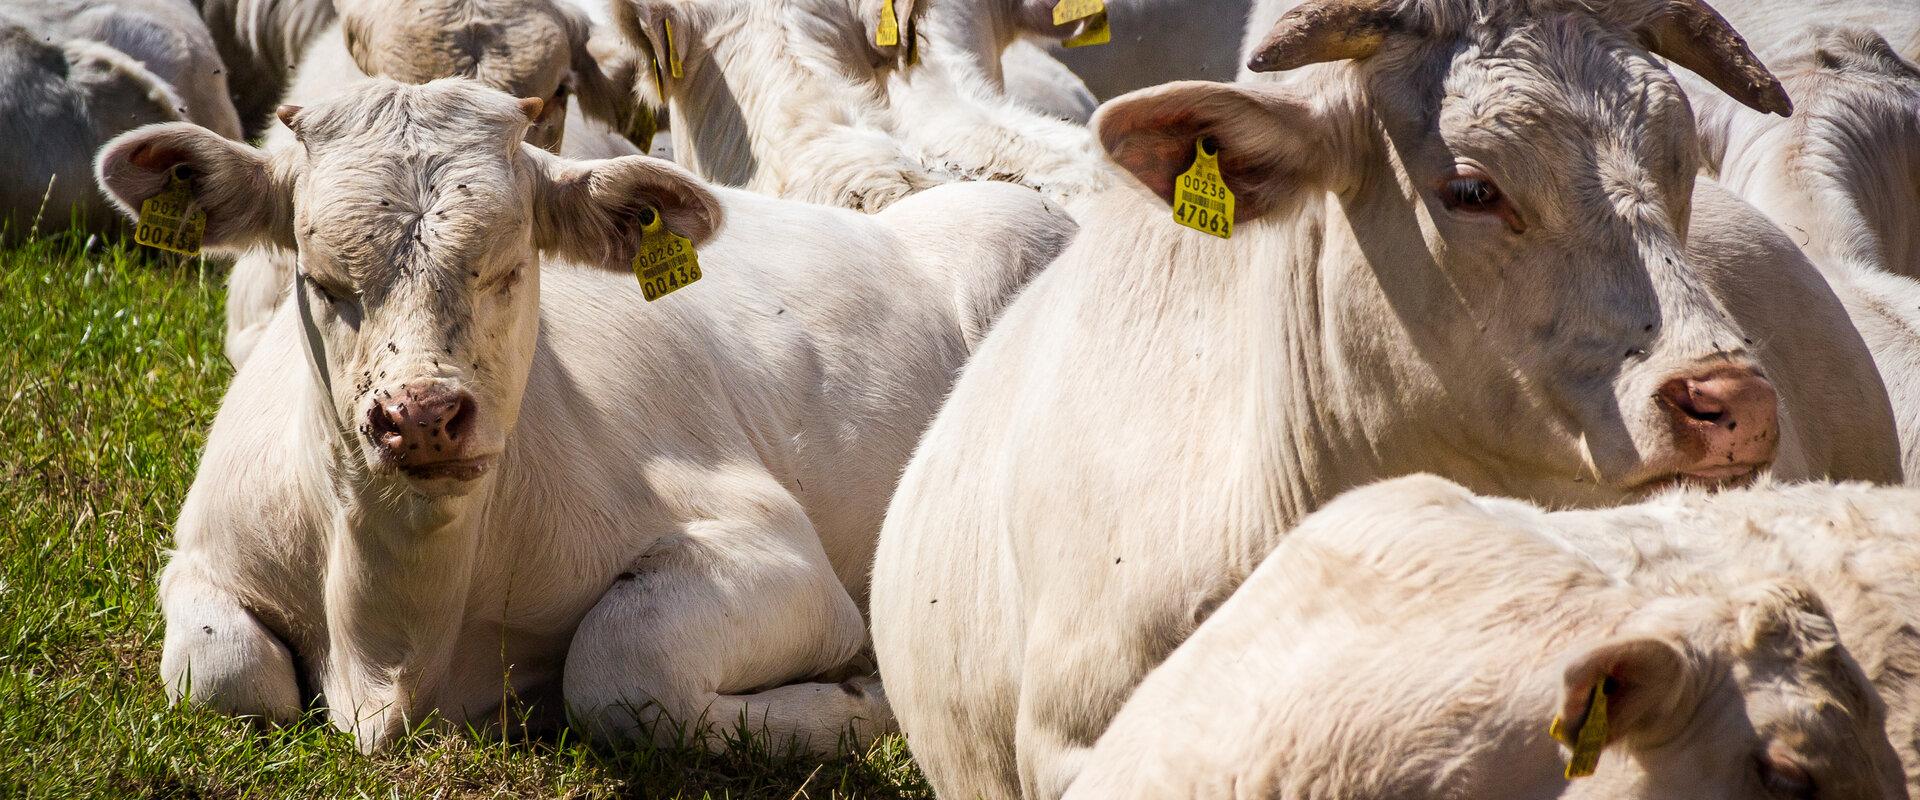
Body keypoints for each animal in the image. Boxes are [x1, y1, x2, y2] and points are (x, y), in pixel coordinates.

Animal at [93, 76, 1082, 755]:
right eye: (322, 277)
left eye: (510, 264)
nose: (422, 415)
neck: (394, 634)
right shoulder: (203, 555)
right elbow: (225, 674)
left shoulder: (779, 557)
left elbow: (618, 669)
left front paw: (862, 699)